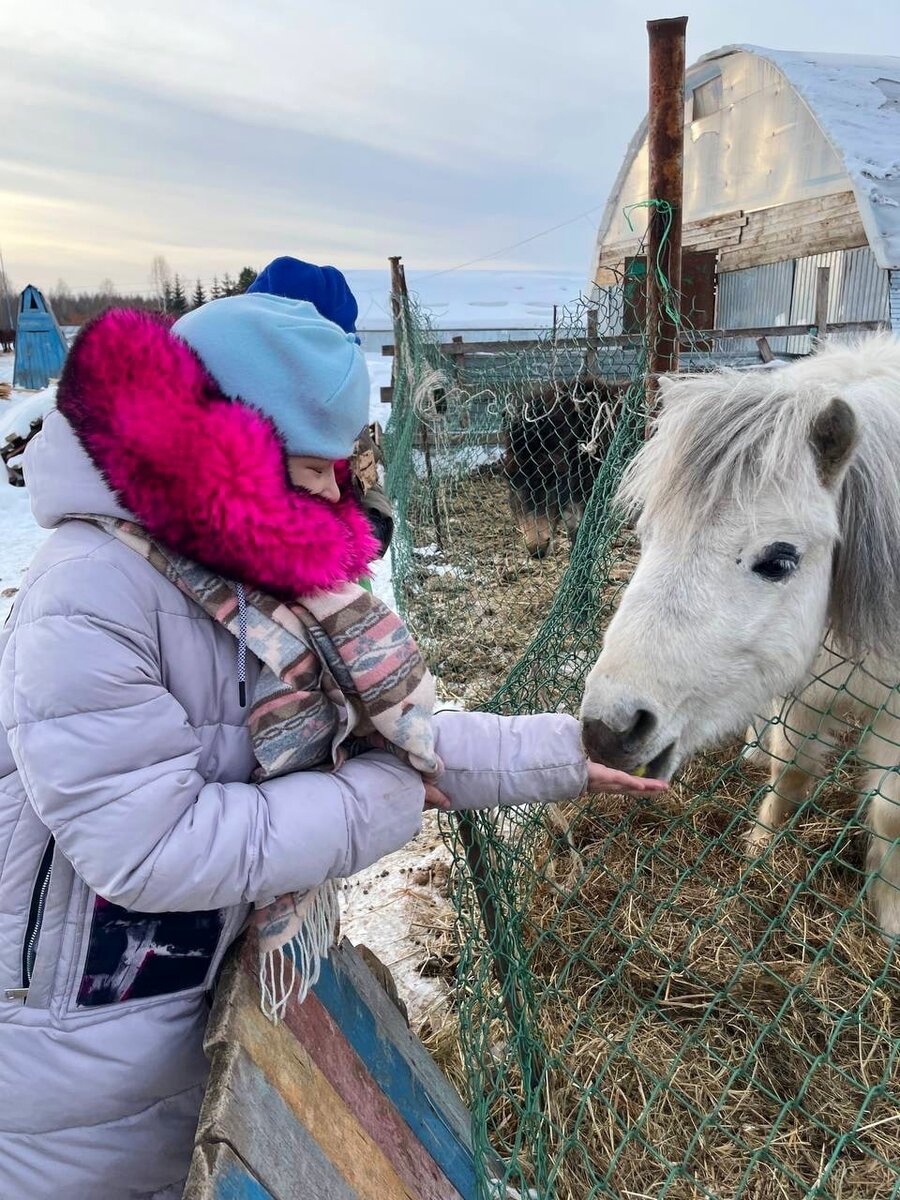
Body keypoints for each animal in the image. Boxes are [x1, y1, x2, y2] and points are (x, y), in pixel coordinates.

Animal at [580, 336, 897, 936]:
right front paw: (760, 848)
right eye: (647, 535)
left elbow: (890, 816)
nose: (610, 729)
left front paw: (889, 918)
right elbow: (791, 769)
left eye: (779, 562)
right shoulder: (806, 688)